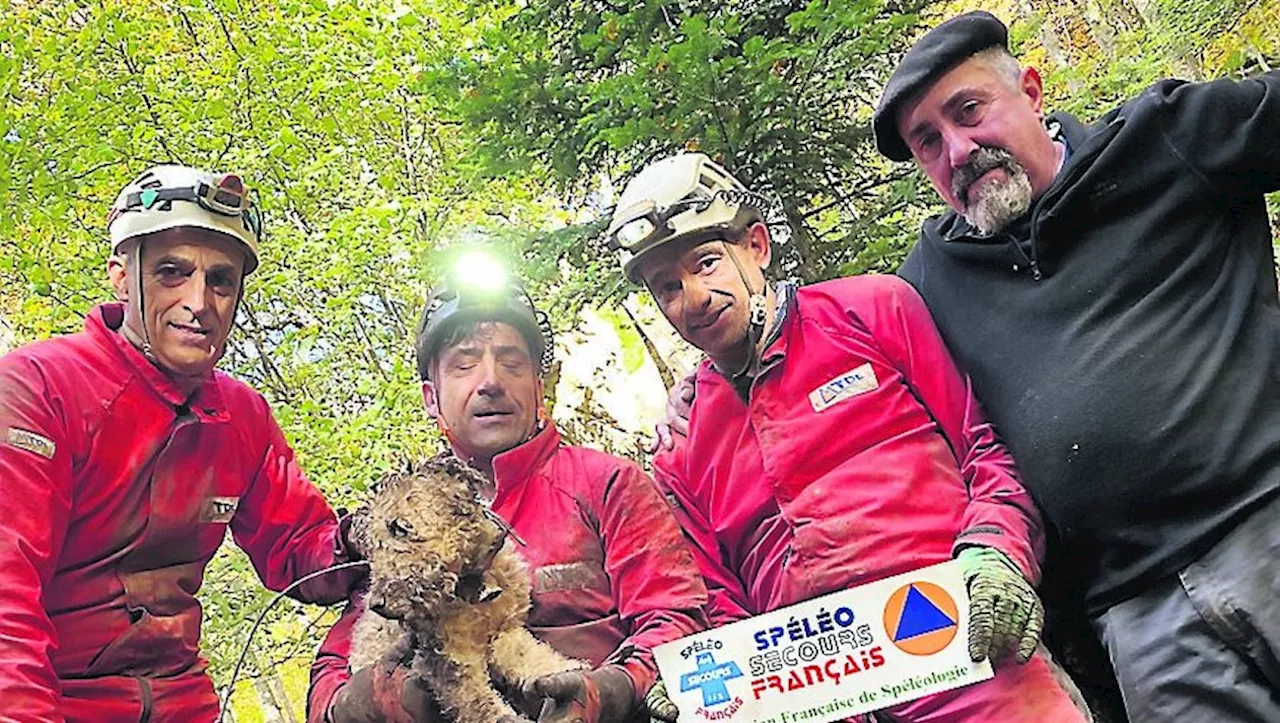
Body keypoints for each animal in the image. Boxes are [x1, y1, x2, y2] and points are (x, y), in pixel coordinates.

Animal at [345, 452, 586, 716]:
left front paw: (566, 668)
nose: (376, 604)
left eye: (400, 528)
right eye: (371, 548)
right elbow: (480, 704)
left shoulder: (505, 629)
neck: (471, 590)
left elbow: (526, 653)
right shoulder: (449, 657)